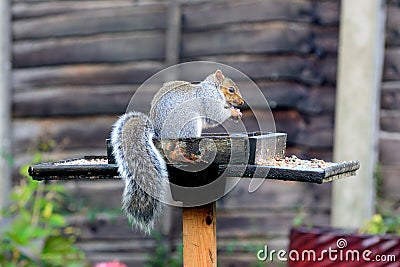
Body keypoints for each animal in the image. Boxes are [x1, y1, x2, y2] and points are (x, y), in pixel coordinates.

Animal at [111, 69, 245, 234]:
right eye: (231, 89)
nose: (241, 103)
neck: (213, 88)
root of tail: (158, 133)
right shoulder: (209, 101)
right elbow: (216, 115)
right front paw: (233, 113)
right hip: (189, 120)